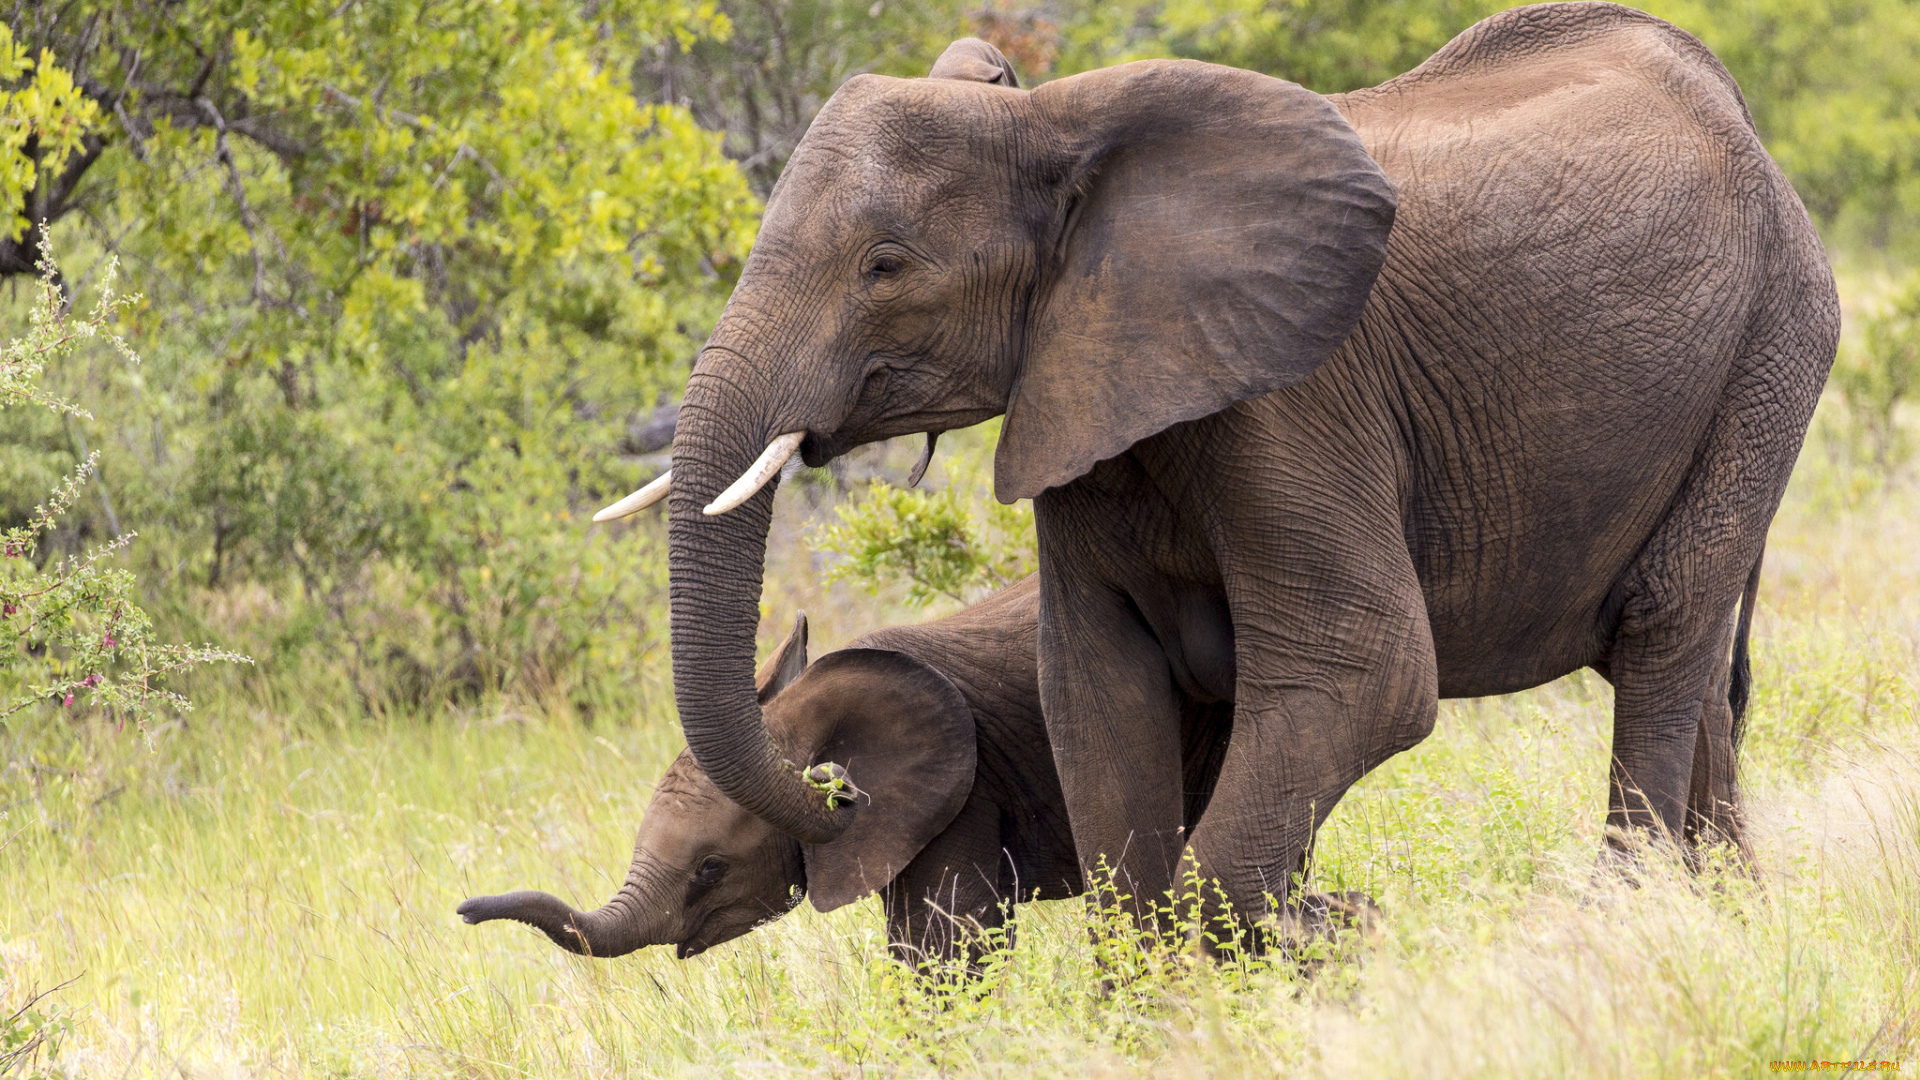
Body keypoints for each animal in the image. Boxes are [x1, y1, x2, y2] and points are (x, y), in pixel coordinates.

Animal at [618, 2, 1843, 933]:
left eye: (884, 265)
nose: (834, 788)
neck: (1056, 123)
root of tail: (1727, 99)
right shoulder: (1085, 392)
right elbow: (1096, 698)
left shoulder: (1297, 401)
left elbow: (1365, 672)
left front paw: (1318, 933)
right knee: (1691, 663)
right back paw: (1735, 924)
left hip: (1774, 342)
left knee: (1661, 626)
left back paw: (1621, 925)